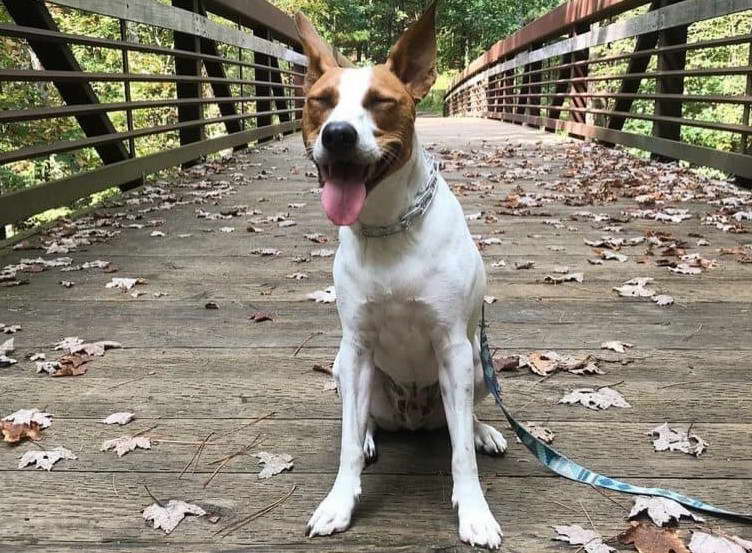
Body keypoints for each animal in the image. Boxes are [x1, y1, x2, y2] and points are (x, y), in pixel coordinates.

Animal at [294, 3, 506, 548]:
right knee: (362, 418)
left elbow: (461, 454)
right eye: (322, 102)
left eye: (380, 102)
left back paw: (483, 430)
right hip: (343, 366)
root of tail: (413, 415)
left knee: (463, 420)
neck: (388, 226)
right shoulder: (358, 344)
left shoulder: (452, 345)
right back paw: (371, 434)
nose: (338, 135)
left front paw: (475, 512)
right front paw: (339, 503)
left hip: (477, 363)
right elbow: (346, 443)